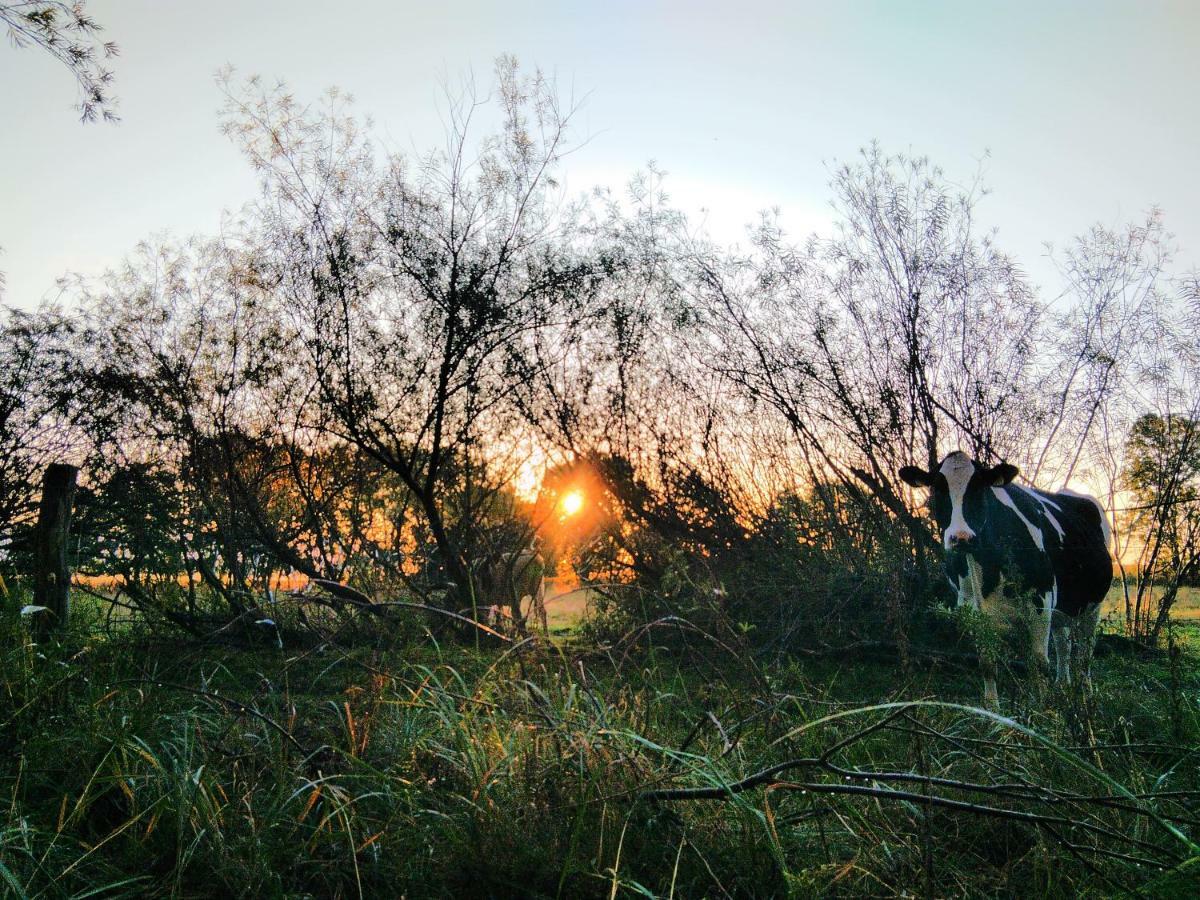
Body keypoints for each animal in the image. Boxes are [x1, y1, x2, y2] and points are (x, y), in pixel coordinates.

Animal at [897, 453, 1108, 710]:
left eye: (980, 488)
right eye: (937, 489)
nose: (961, 538)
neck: (983, 570)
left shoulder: (1041, 600)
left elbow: (1039, 664)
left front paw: (1042, 710)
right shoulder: (971, 608)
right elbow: (987, 663)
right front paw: (993, 711)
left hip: (1094, 604)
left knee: (1086, 651)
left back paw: (1086, 694)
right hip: (1064, 607)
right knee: (1063, 644)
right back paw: (1063, 687)